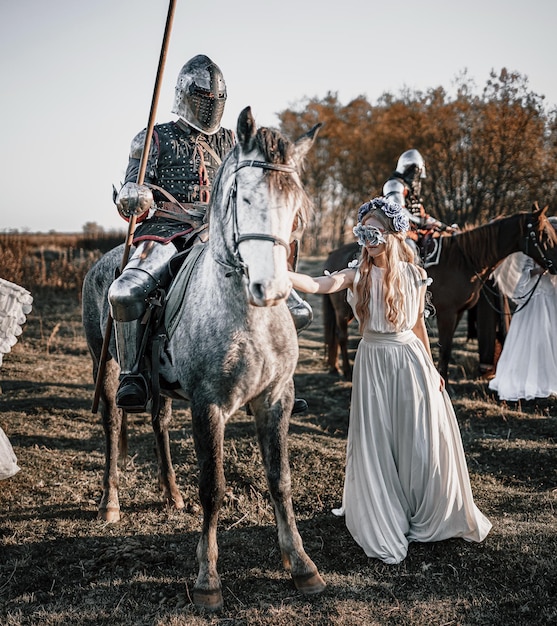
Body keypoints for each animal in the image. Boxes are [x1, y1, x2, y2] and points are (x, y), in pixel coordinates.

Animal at [83, 105, 326, 608]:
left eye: (296, 206)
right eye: (244, 197)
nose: (272, 288)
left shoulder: (275, 401)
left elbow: (281, 480)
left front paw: (302, 565)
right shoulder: (208, 405)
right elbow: (213, 488)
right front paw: (207, 579)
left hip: (162, 385)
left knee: (158, 421)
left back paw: (172, 494)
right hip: (108, 360)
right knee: (113, 422)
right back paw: (110, 502)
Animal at [322, 205, 556, 380]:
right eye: (544, 233)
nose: (554, 266)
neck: (465, 260)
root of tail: (333, 253)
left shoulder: (458, 313)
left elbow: (447, 349)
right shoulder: (448, 313)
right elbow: (445, 349)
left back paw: (335, 367)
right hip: (343, 312)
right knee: (342, 336)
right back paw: (345, 371)